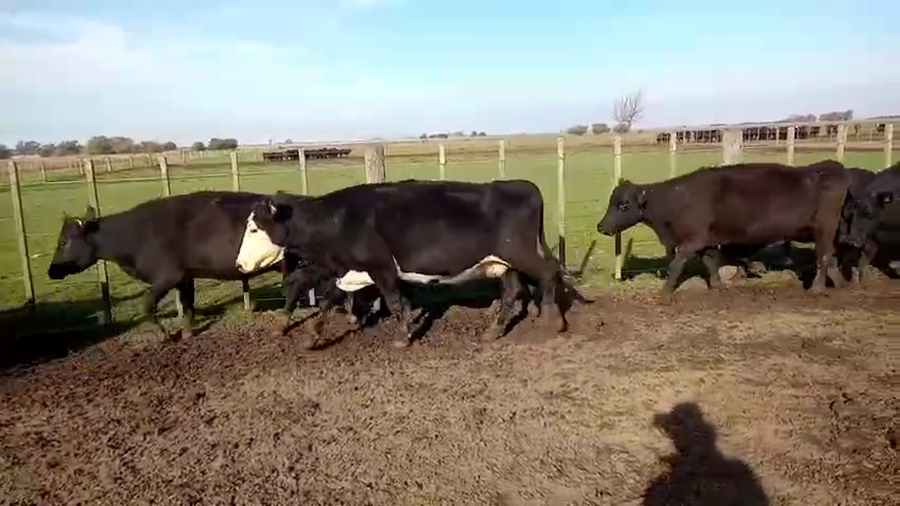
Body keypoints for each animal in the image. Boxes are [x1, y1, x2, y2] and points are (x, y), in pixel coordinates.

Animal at [47, 191, 303, 340]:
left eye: (63, 242)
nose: (51, 271)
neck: (136, 234)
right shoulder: (185, 276)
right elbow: (187, 304)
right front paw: (189, 331)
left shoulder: (167, 277)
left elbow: (146, 306)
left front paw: (164, 335)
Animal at [236, 179, 590, 348]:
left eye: (253, 228)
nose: (239, 265)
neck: (339, 220)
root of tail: (519, 184)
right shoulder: (350, 269)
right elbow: (328, 301)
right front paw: (312, 337)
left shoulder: (381, 268)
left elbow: (394, 302)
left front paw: (402, 336)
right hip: (503, 262)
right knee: (514, 290)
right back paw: (495, 330)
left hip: (521, 252)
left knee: (548, 272)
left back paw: (553, 320)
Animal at [596, 160, 852, 303]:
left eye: (624, 205)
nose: (600, 226)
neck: (677, 198)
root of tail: (829, 168)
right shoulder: (707, 241)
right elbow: (711, 263)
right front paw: (718, 287)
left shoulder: (692, 241)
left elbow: (676, 266)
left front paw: (665, 295)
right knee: (830, 258)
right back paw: (842, 285)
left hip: (824, 229)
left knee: (824, 257)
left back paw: (817, 289)